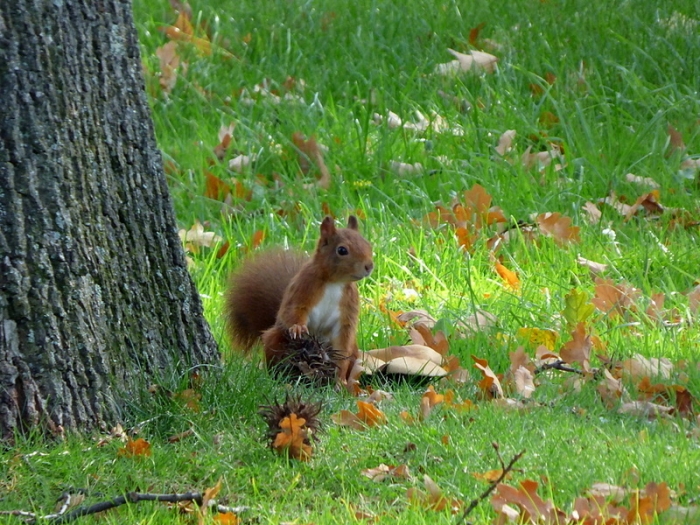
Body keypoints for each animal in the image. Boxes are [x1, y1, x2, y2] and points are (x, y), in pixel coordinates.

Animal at [224, 216, 374, 383]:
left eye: (368, 244)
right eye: (342, 250)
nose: (369, 266)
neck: (335, 283)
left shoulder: (349, 306)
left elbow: (343, 340)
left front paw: (339, 380)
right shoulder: (302, 288)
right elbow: (292, 310)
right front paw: (298, 328)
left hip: (354, 351)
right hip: (275, 338)